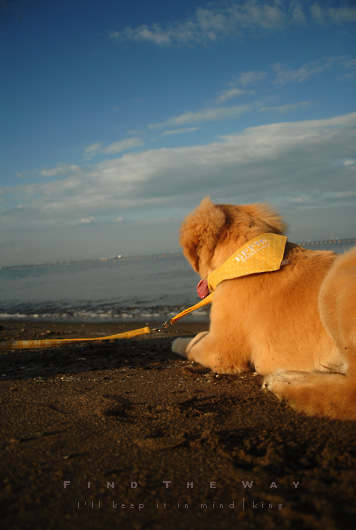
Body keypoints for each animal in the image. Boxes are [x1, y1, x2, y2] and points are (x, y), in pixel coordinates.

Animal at [172, 196, 356, 418]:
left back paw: (282, 383)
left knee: (349, 394)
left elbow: (192, 343)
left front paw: (179, 341)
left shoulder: (221, 352)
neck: (243, 258)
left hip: (337, 281)